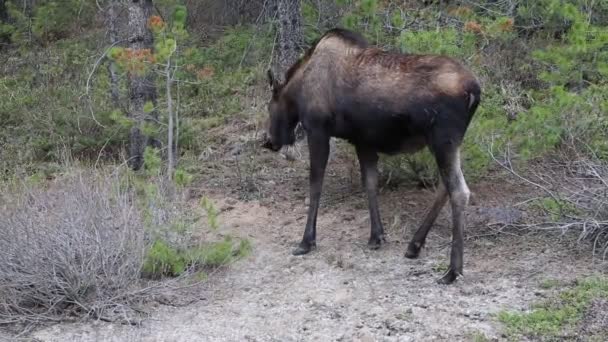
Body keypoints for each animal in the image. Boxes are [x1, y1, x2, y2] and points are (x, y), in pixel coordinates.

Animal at [264, 28, 482, 284]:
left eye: (269, 106)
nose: (268, 141)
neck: (298, 93)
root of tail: (475, 91)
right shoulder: (363, 141)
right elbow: (370, 183)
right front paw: (376, 236)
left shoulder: (317, 130)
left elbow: (316, 185)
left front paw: (307, 241)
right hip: (450, 143)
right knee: (445, 187)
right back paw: (415, 245)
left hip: (443, 139)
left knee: (459, 191)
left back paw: (452, 270)